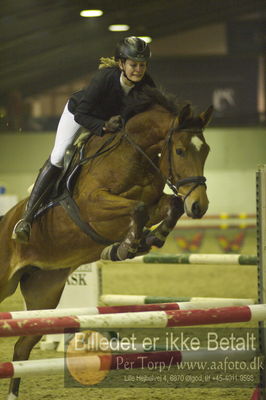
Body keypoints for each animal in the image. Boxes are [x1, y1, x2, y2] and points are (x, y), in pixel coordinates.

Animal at [0, 86, 212, 396]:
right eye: (180, 150)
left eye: (206, 150)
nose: (199, 206)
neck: (133, 157)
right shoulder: (93, 206)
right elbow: (137, 208)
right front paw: (124, 248)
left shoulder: (154, 203)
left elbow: (168, 205)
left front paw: (149, 239)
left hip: (44, 293)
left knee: (22, 348)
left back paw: (13, 395)